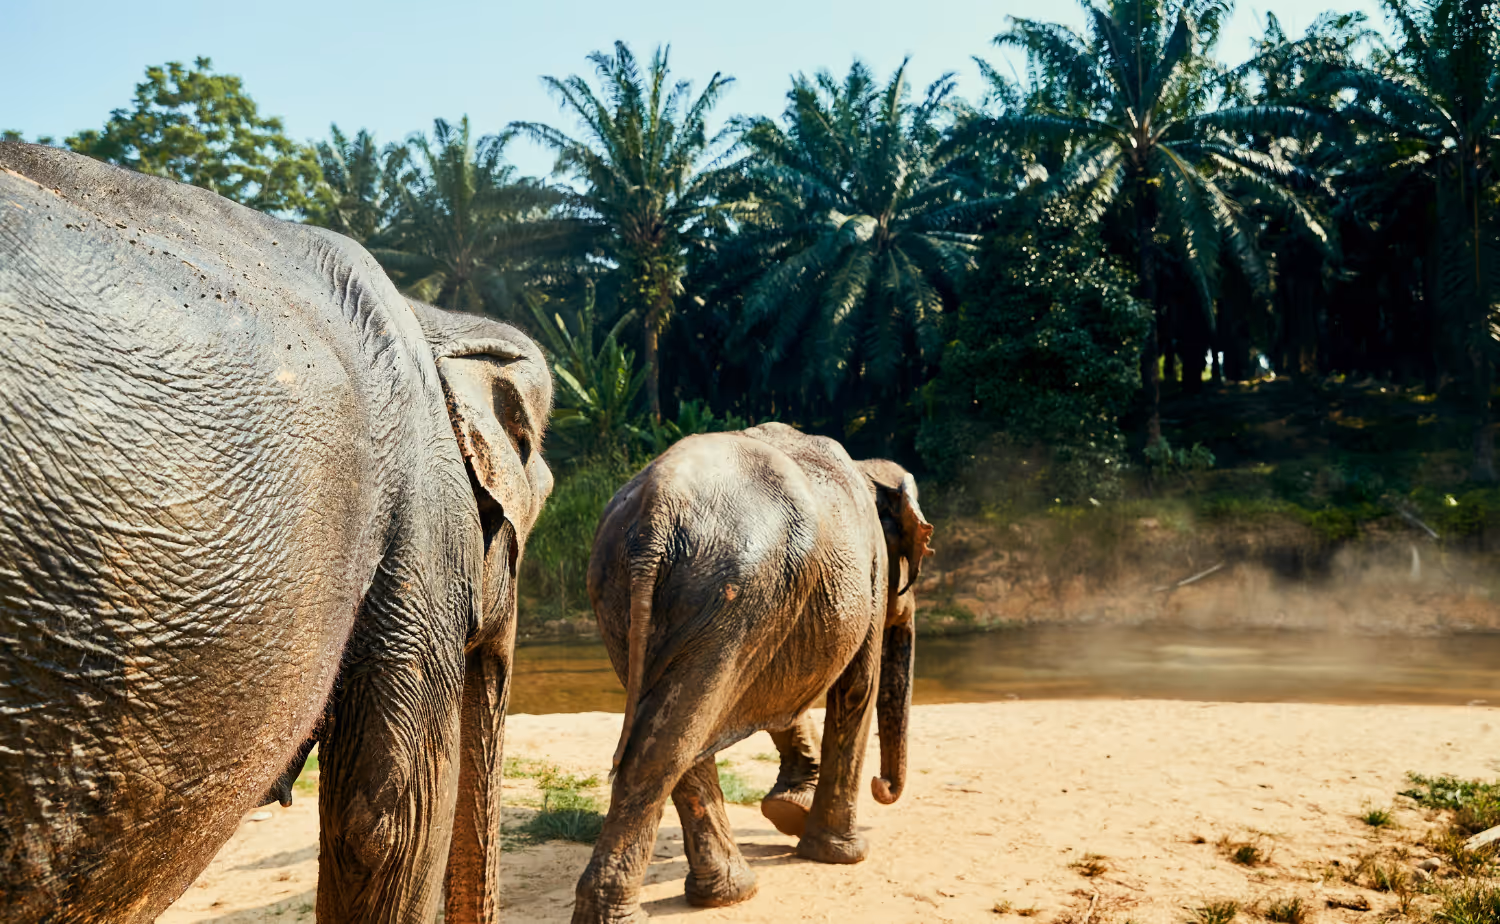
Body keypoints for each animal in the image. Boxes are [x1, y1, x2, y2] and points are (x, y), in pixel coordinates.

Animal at [574, 422, 934, 923]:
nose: (883, 787)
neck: (868, 468)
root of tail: (658, 508)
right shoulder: (873, 572)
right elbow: (856, 687)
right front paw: (844, 854)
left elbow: (783, 693)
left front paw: (787, 812)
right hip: (731, 591)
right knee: (672, 742)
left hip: (626, 592)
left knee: (679, 728)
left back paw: (726, 894)